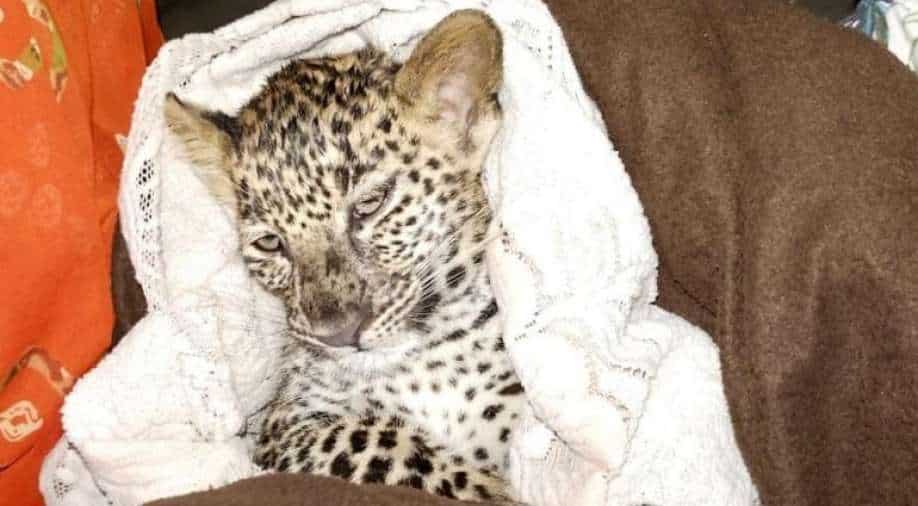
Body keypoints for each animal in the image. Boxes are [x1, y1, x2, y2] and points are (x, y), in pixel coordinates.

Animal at [164, 10, 523, 504]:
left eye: (370, 205)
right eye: (270, 243)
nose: (338, 334)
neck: (421, 368)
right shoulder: (284, 433)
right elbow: (368, 439)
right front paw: (494, 489)